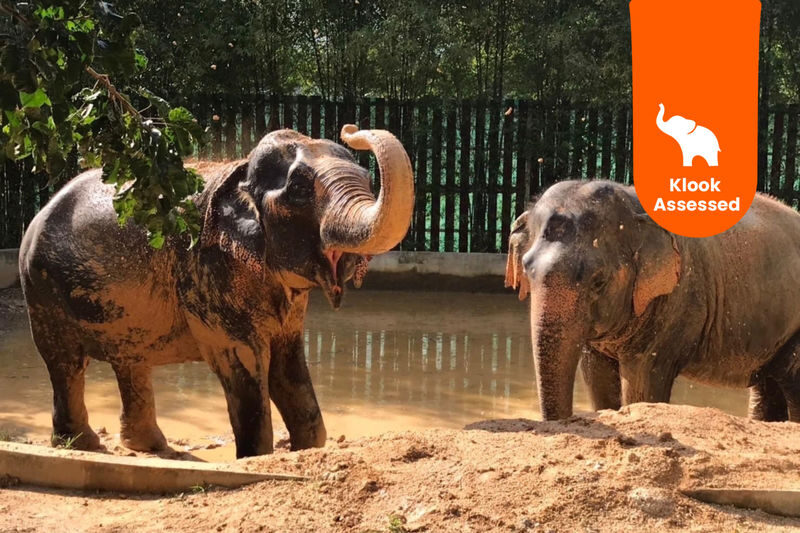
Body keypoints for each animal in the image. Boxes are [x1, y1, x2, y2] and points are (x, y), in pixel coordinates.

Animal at [19, 125, 414, 458]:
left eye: (368, 179)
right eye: (300, 190)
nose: (351, 129)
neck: (240, 172)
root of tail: (40, 212)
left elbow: (288, 364)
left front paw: (305, 450)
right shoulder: (207, 273)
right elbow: (245, 362)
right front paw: (254, 458)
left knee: (130, 359)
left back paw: (149, 447)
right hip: (41, 291)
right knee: (66, 361)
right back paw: (82, 446)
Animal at [505, 180, 800, 422]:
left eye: (599, 281)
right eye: (527, 270)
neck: (633, 203)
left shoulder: (677, 302)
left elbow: (642, 384)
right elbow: (596, 376)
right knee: (768, 386)